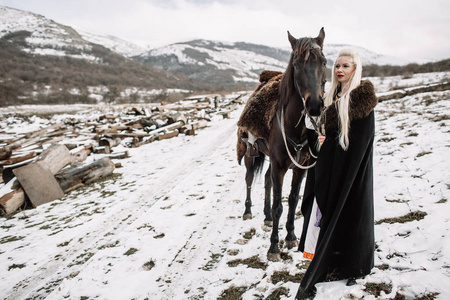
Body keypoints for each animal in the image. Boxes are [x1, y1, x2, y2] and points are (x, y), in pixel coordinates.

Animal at [236, 29, 326, 262]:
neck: (294, 126)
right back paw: (248, 211)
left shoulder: (299, 169)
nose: (314, 106)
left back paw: (266, 217)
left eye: (324, 61)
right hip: (250, 155)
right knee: (249, 180)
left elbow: (293, 200)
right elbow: (279, 205)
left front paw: (291, 236)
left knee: (267, 180)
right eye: (296, 65)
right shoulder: (279, 167)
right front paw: (274, 247)